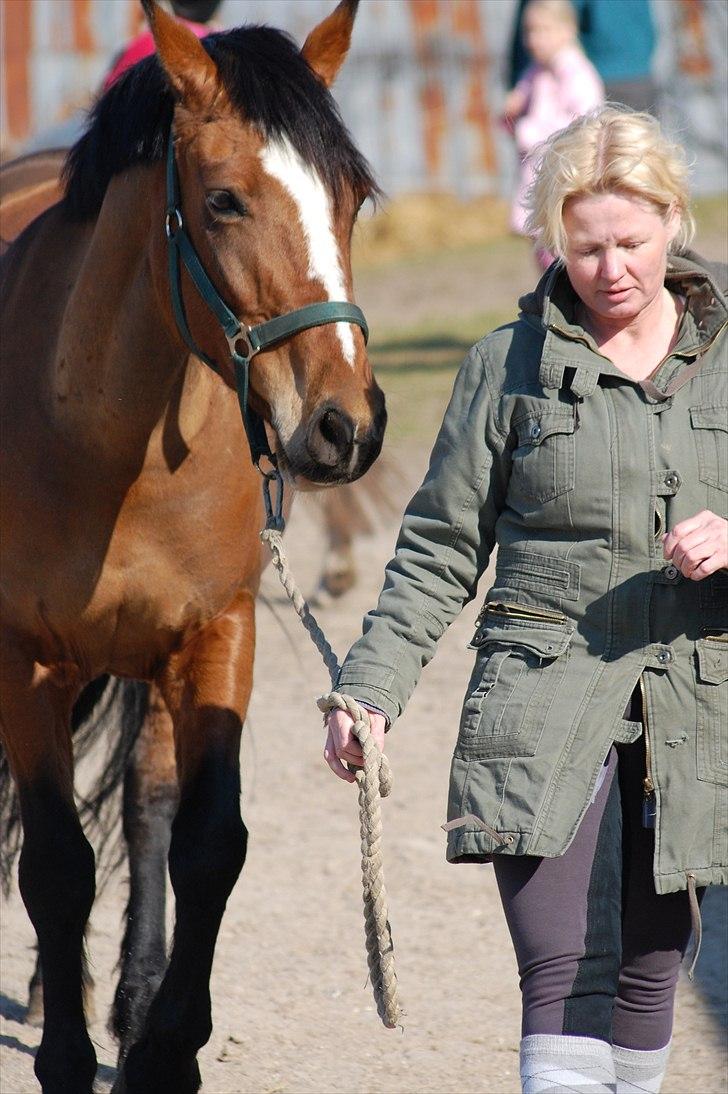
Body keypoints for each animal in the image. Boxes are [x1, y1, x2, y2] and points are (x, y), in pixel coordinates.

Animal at [0, 2, 385, 1085]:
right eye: (221, 201)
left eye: (353, 198)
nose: (345, 426)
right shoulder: (23, 658)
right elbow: (54, 860)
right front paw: (64, 1055)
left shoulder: (215, 634)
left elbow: (205, 839)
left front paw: (163, 1046)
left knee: (144, 803)